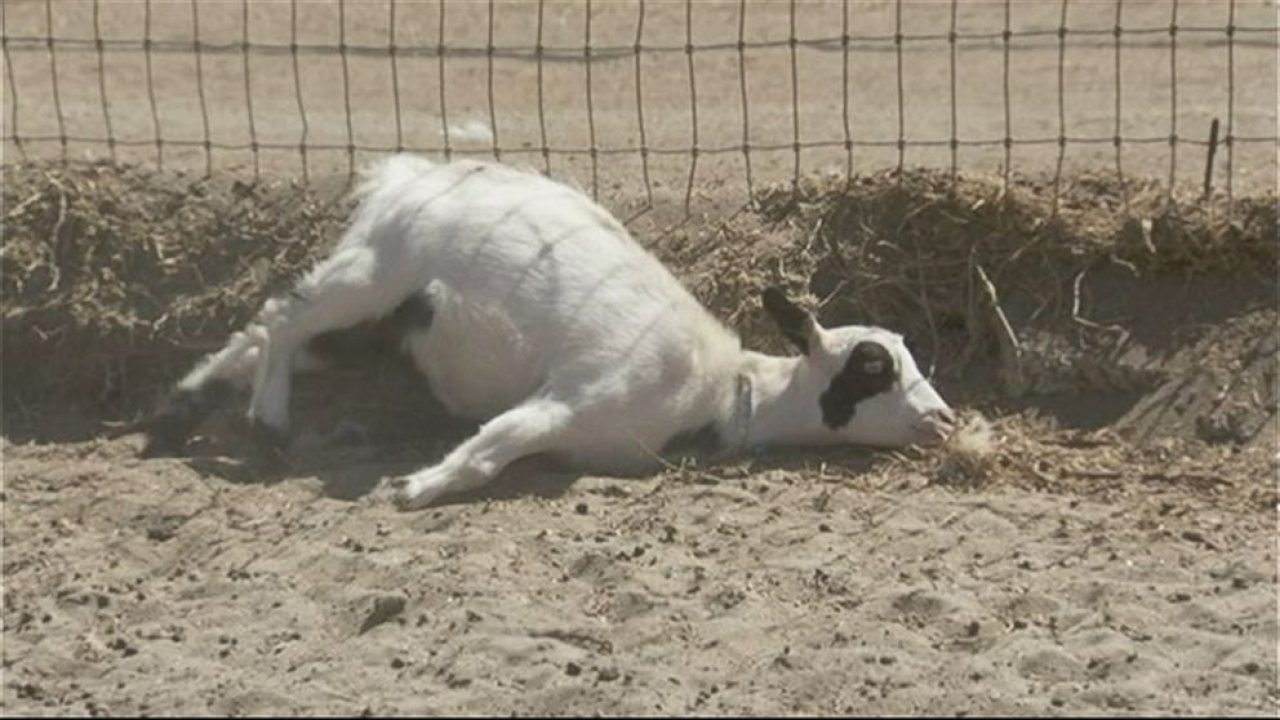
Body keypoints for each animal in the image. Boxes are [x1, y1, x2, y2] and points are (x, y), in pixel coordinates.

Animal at [145, 154, 957, 507]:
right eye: (873, 367)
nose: (945, 421)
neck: (724, 391)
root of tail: (413, 173)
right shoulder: (571, 400)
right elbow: (489, 449)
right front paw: (416, 487)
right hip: (377, 273)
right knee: (282, 317)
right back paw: (266, 422)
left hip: (376, 316)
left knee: (260, 331)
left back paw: (180, 413)